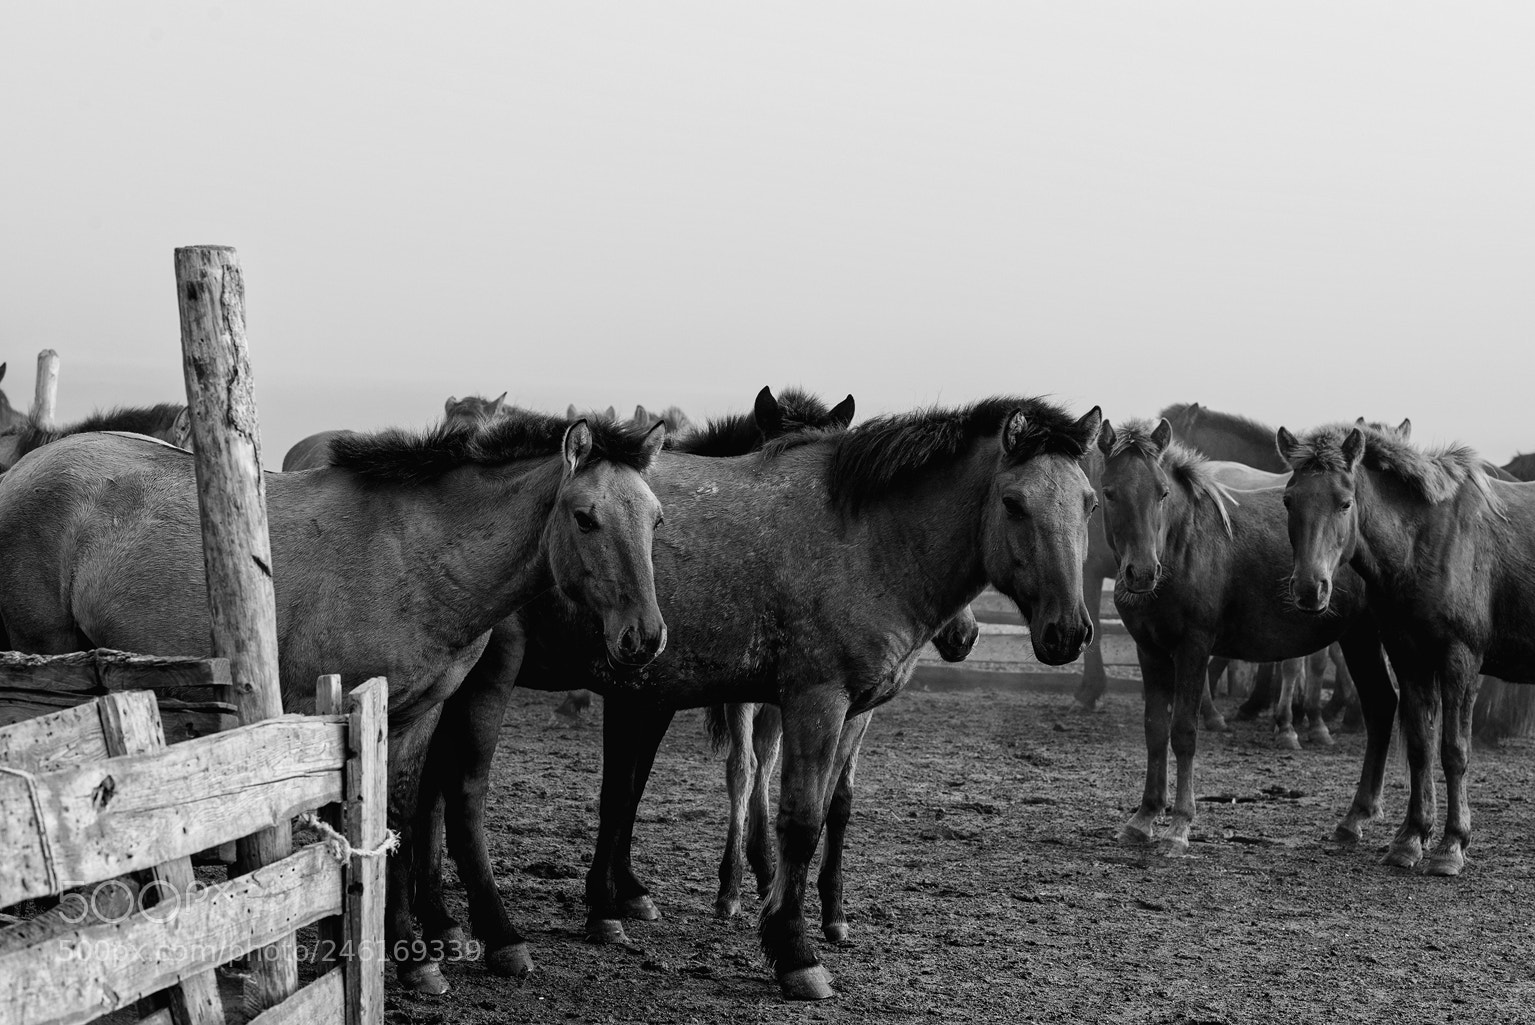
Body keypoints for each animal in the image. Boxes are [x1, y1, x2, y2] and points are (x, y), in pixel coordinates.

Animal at [0, 410, 669, 994]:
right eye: (585, 518)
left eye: (656, 520)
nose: (645, 637)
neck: (417, 556)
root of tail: (24, 469)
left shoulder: (416, 717)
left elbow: (398, 817)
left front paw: (412, 956)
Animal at [421, 396, 1102, 1000]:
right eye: (1013, 503)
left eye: (1089, 503)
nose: (1069, 631)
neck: (866, 537)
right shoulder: (812, 701)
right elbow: (796, 822)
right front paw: (795, 954)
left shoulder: (839, 711)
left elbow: (821, 809)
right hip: (484, 677)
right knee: (459, 792)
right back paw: (489, 934)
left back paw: (442, 928)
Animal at [1096, 418, 1398, 854]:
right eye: (1109, 492)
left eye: (1162, 492)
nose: (1142, 573)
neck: (1183, 544)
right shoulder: (1149, 650)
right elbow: (1155, 729)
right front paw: (1144, 817)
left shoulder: (1193, 648)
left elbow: (1183, 731)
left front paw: (1179, 826)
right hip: (1359, 638)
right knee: (1381, 705)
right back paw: (1356, 817)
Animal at [1276, 421, 1535, 875]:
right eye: (1289, 500)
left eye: (1345, 502)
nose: (1310, 589)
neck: (1426, 541)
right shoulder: (1410, 656)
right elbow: (1419, 746)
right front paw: (1411, 839)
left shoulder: (1461, 660)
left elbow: (1454, 750)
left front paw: (1452, 845)